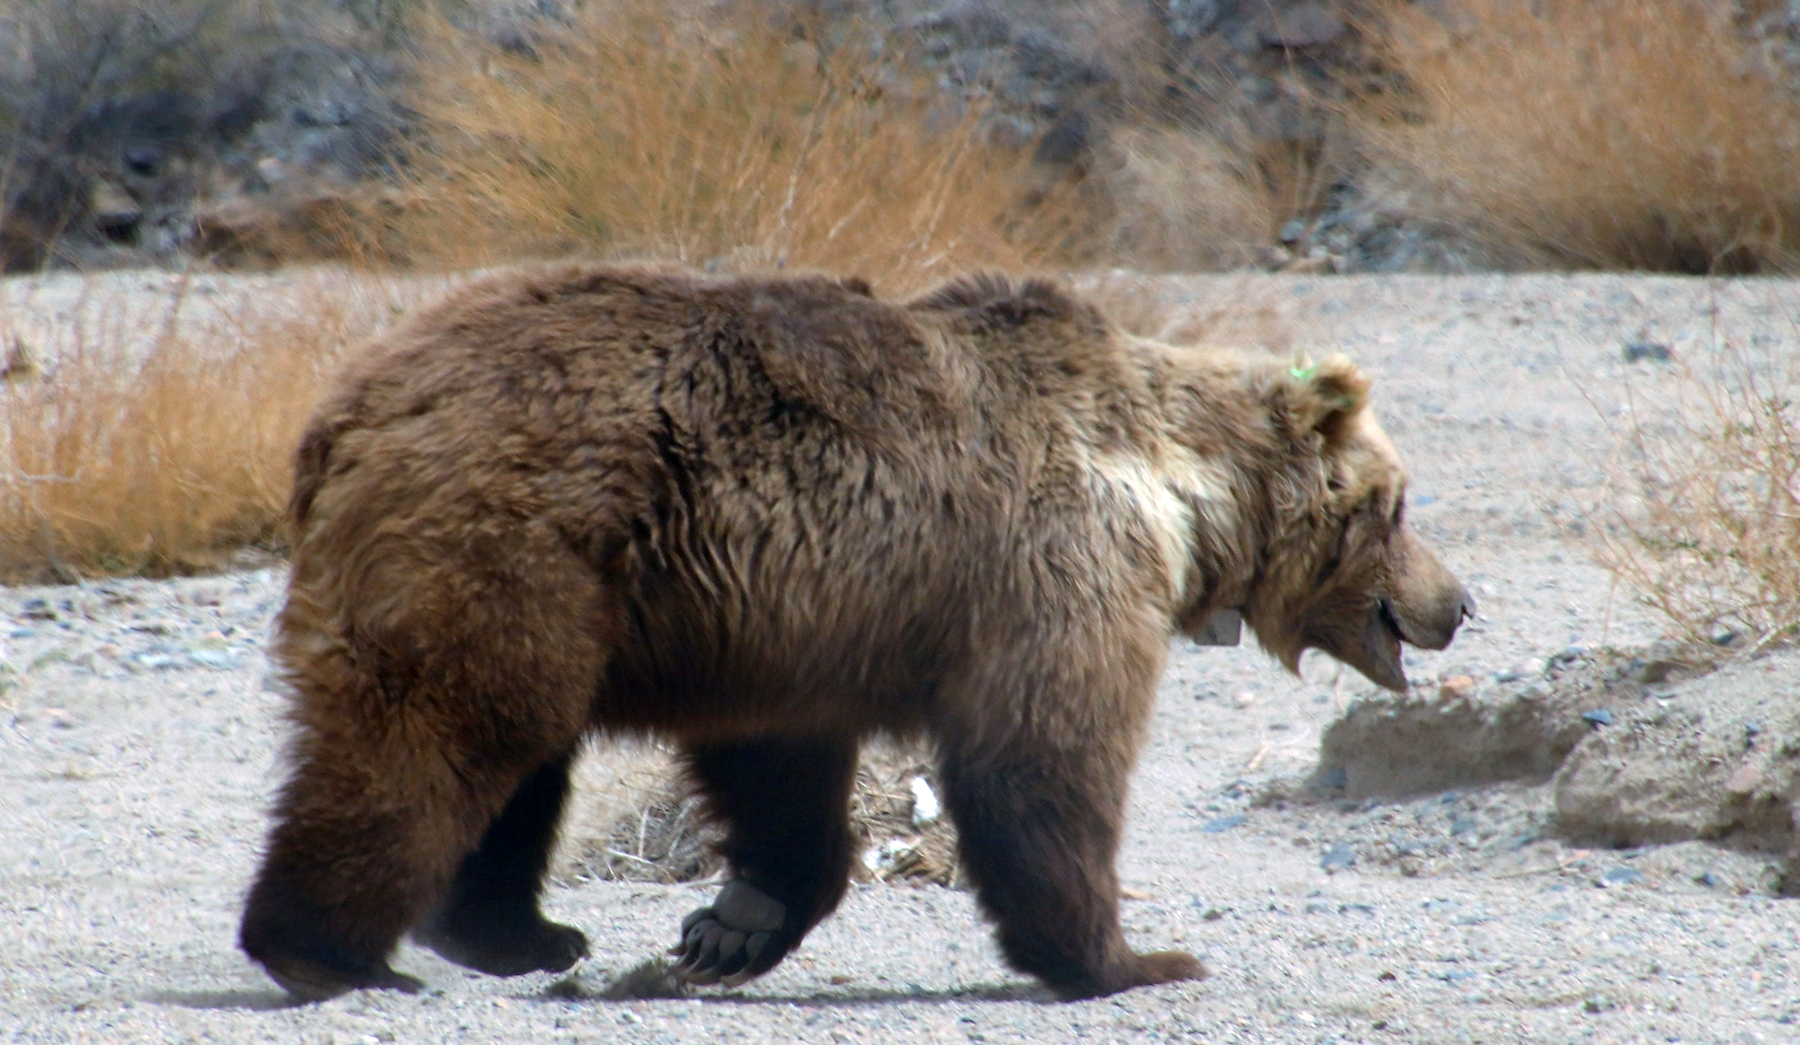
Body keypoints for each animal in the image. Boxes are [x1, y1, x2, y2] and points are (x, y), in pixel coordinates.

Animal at [243, 264, 1476, 1000]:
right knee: (438, 730)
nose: (1458, 603)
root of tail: (342, 408)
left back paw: (519, 933)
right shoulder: (1050, 562)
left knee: (517, 752)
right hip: (510, 533)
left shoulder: (789, 614)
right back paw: (328, 949)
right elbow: (1042, 757)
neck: (1180, 494)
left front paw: (730, 925)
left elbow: (780, 770)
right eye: (1398, 505)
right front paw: (1134, 954)